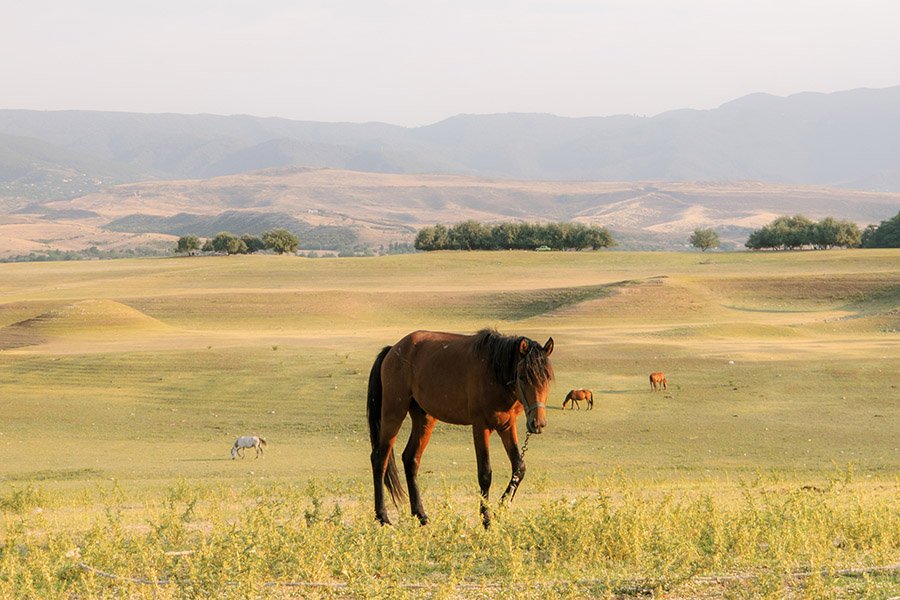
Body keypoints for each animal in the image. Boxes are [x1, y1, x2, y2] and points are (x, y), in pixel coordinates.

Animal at [367, 328, 554, 528]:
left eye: (548, 378)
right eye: (523, 377)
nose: (538, 423)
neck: (493, 371)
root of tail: (393, 349)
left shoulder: (507, 426)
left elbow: (519, 468)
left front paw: (500, 510)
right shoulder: (480, 426)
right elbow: (485, 474)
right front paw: (486, 518)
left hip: (424, 418)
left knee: (411, 459)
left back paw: (421, 515)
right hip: (394, 413)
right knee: (380, 459)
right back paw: (382, 517)